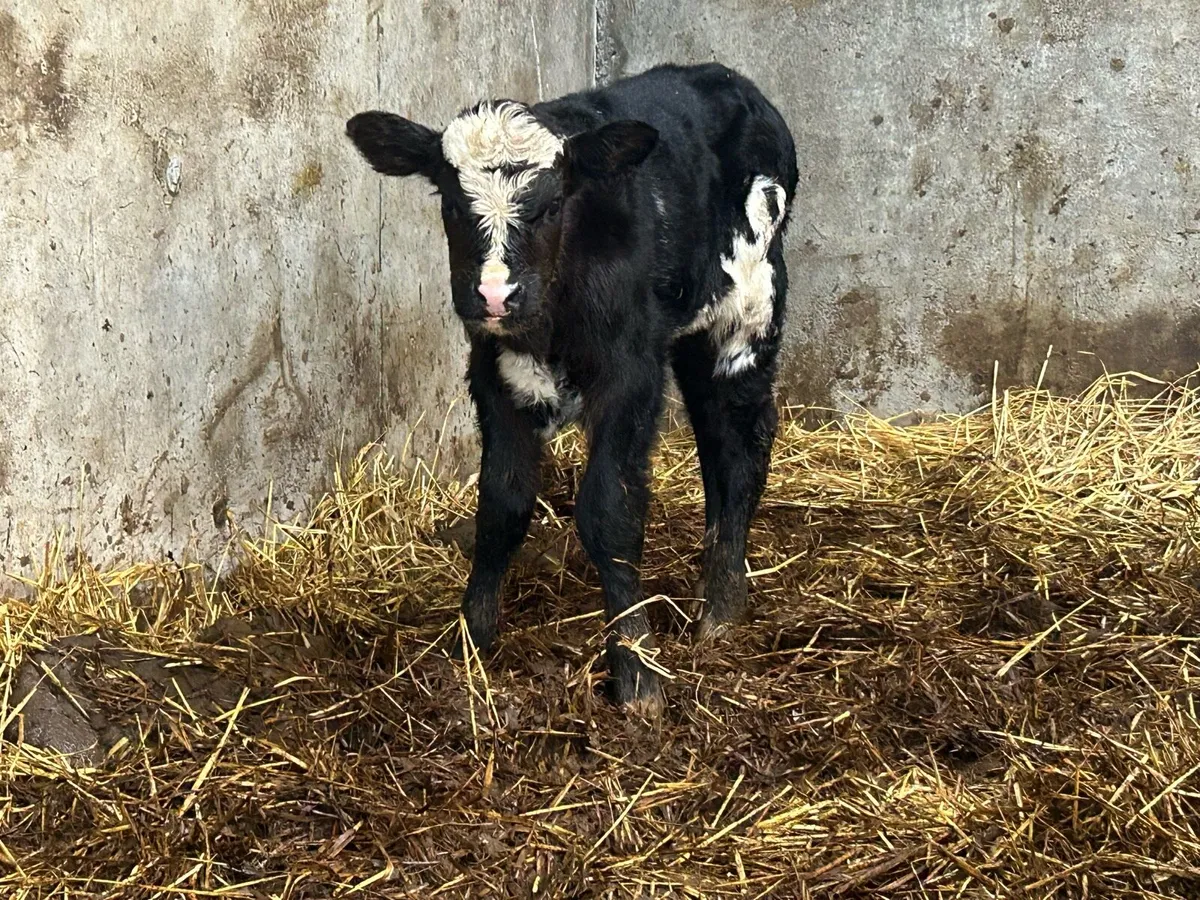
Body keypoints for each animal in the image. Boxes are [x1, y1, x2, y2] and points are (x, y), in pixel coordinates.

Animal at [346, 63, 797, 715]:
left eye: (551, 204)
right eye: (451, 201)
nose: (494, 295)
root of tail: (725, 76)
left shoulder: (630, 373)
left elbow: (610, 509)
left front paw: (635, 668)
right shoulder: (493, 372)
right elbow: (502, 504)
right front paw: (471, 638)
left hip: (747, 310)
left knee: (741, 442)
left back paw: (721, 603)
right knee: (716, 440)